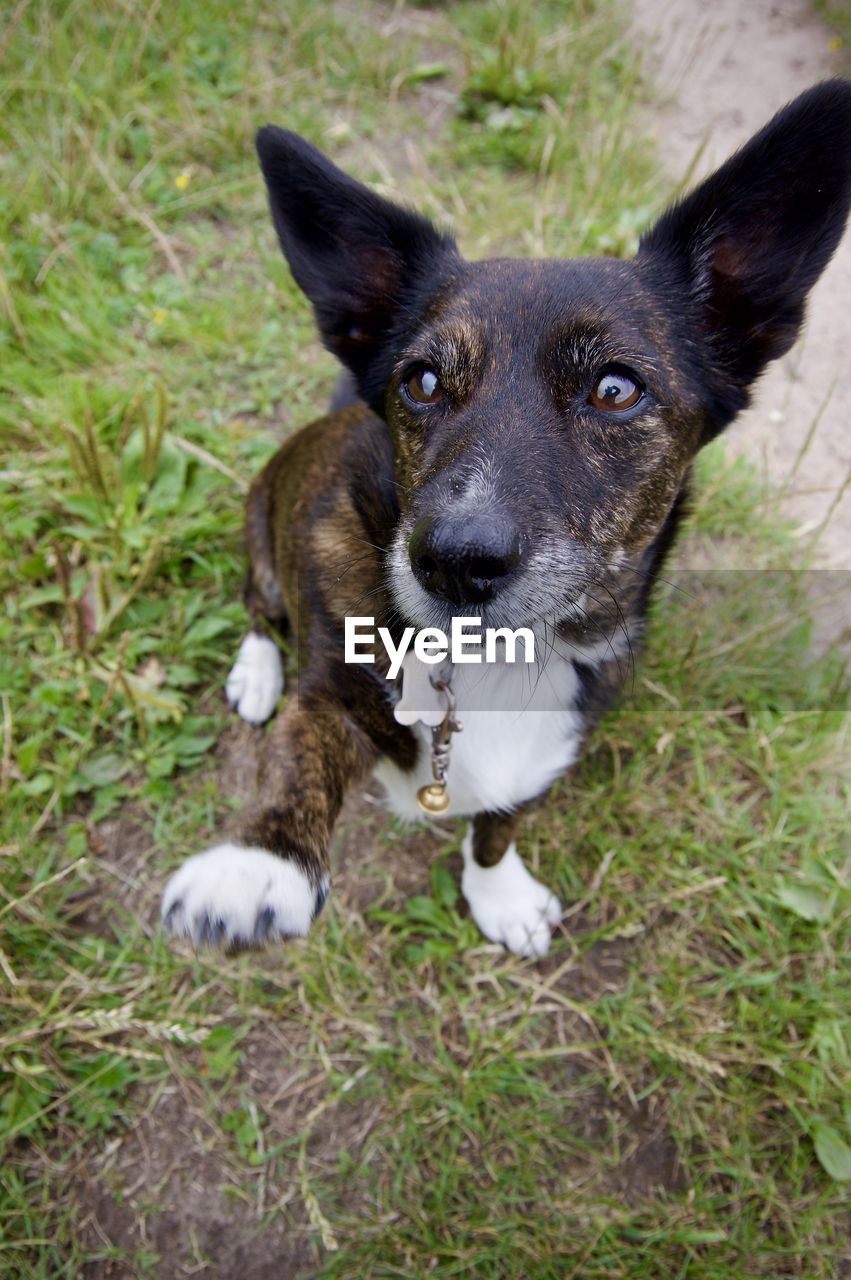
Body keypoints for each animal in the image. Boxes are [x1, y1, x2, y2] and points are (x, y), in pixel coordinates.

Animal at [162, 80, 849, 957]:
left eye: (616, 389)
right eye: (420, 381)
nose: (452, 560)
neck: (497, 662)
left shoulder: (547, 751)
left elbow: (497, 826)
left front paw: (498, 894)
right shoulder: (335, 692)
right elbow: (302, 752)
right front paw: (259, 862)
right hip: (261, 533)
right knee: (257, 606)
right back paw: (255, 672)